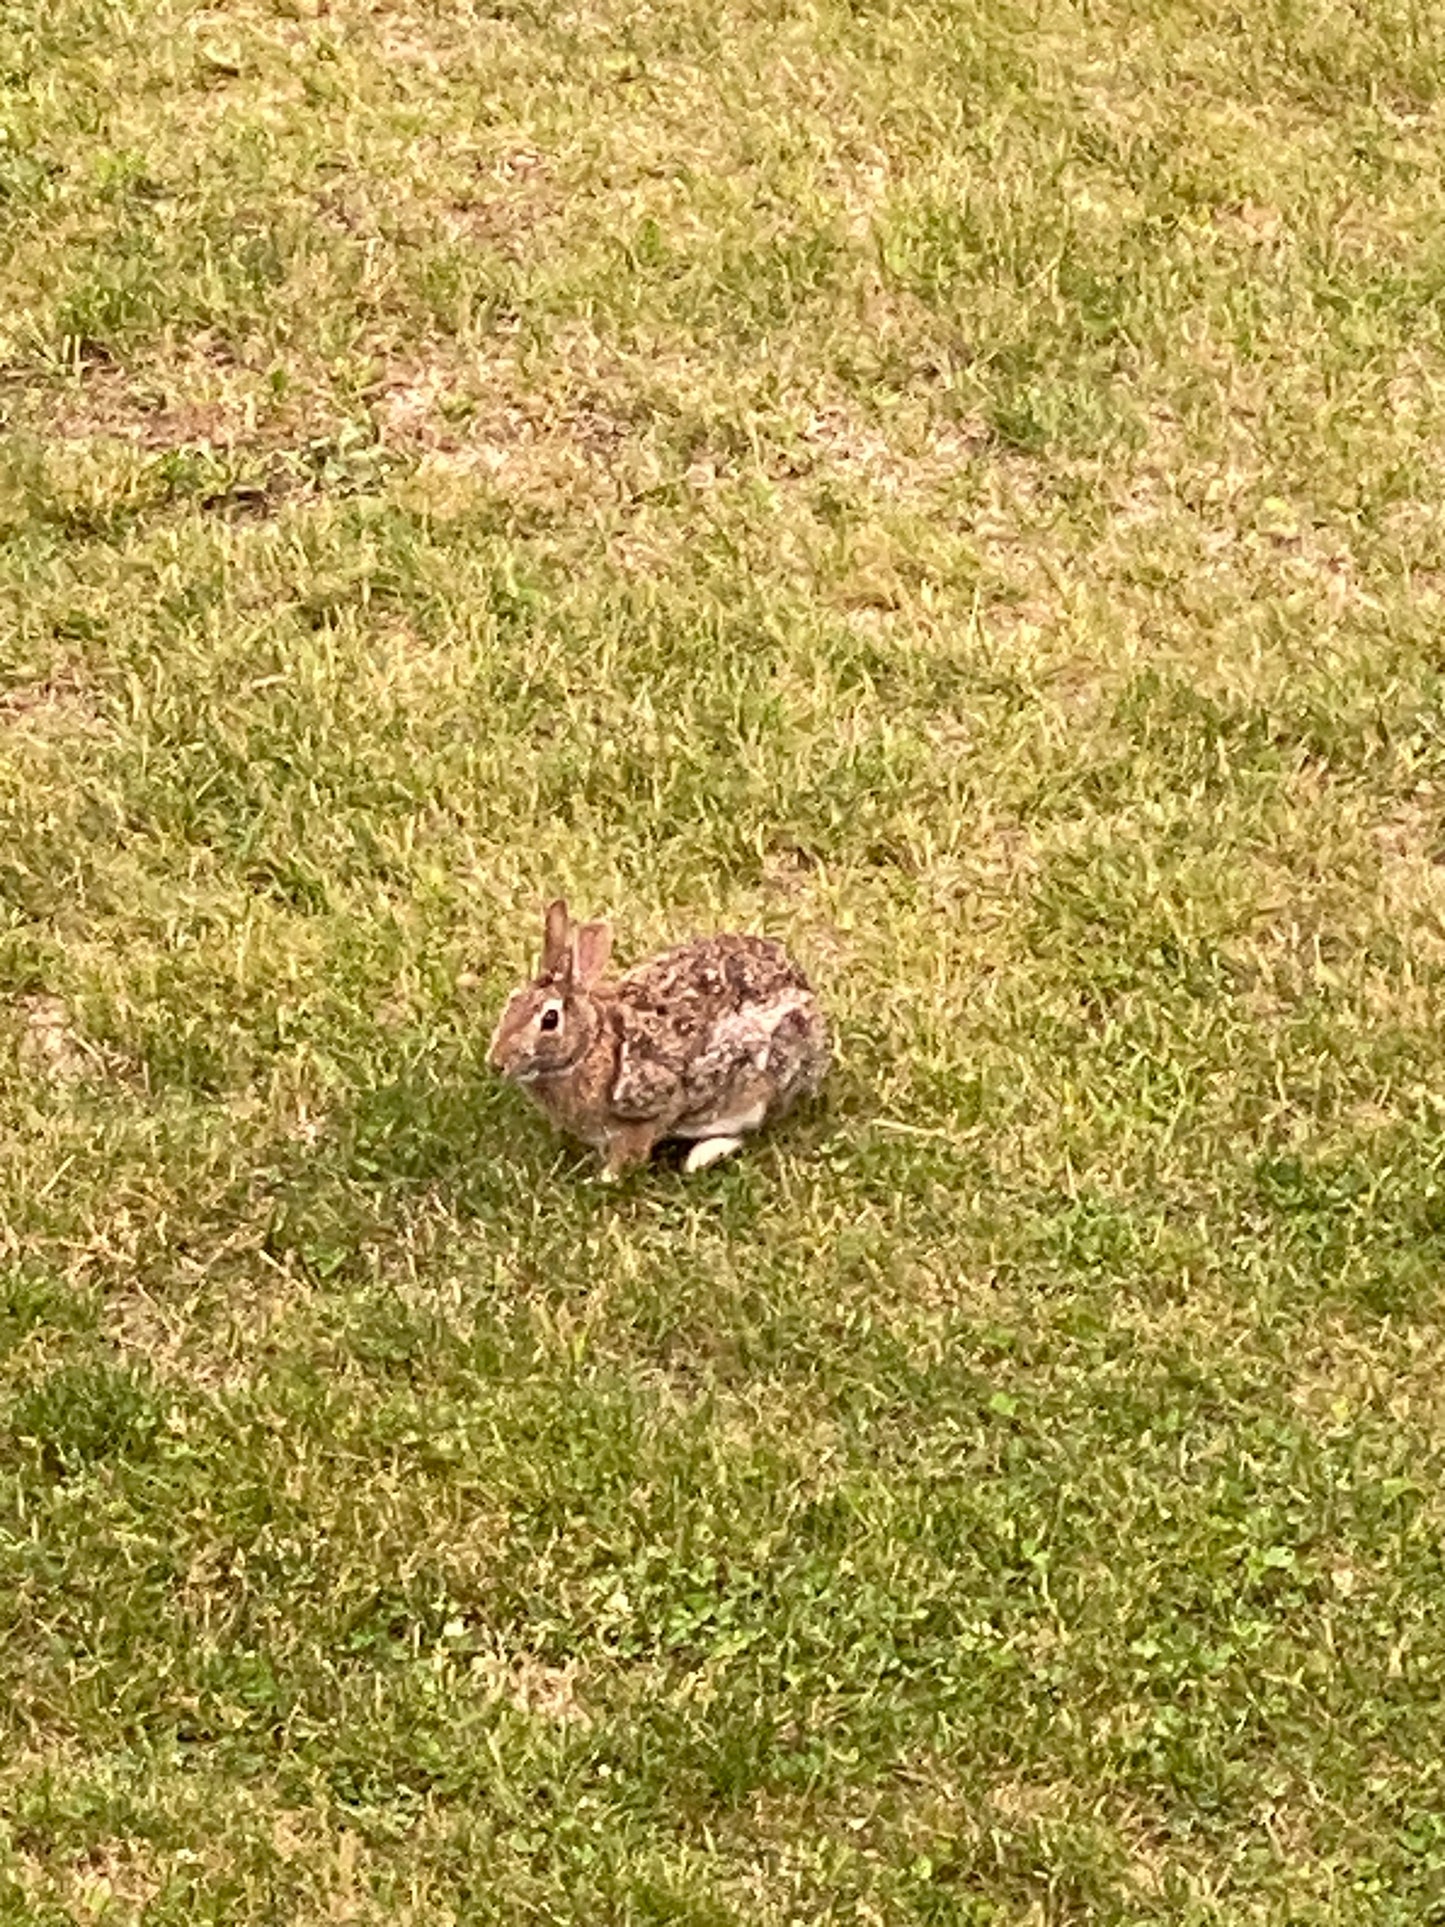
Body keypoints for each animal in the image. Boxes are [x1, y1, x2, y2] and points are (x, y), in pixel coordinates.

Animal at [488, 898, 830, 1178]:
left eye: (550, 1019)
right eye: (511, 1001)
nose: (496, 1062)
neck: (590, 1047)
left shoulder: (647, 1112)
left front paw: (603, 1178)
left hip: (762, 1079)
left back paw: (701, 1156)